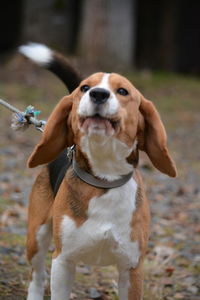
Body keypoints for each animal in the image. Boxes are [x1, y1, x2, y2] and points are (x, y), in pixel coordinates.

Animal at [19, 42, 177, 300]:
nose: (98, 94)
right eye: (85, 88)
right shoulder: (62, 261)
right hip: (37, 236)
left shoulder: (132, 268)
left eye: (122, 91)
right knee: (36, 274)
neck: (104, 179)